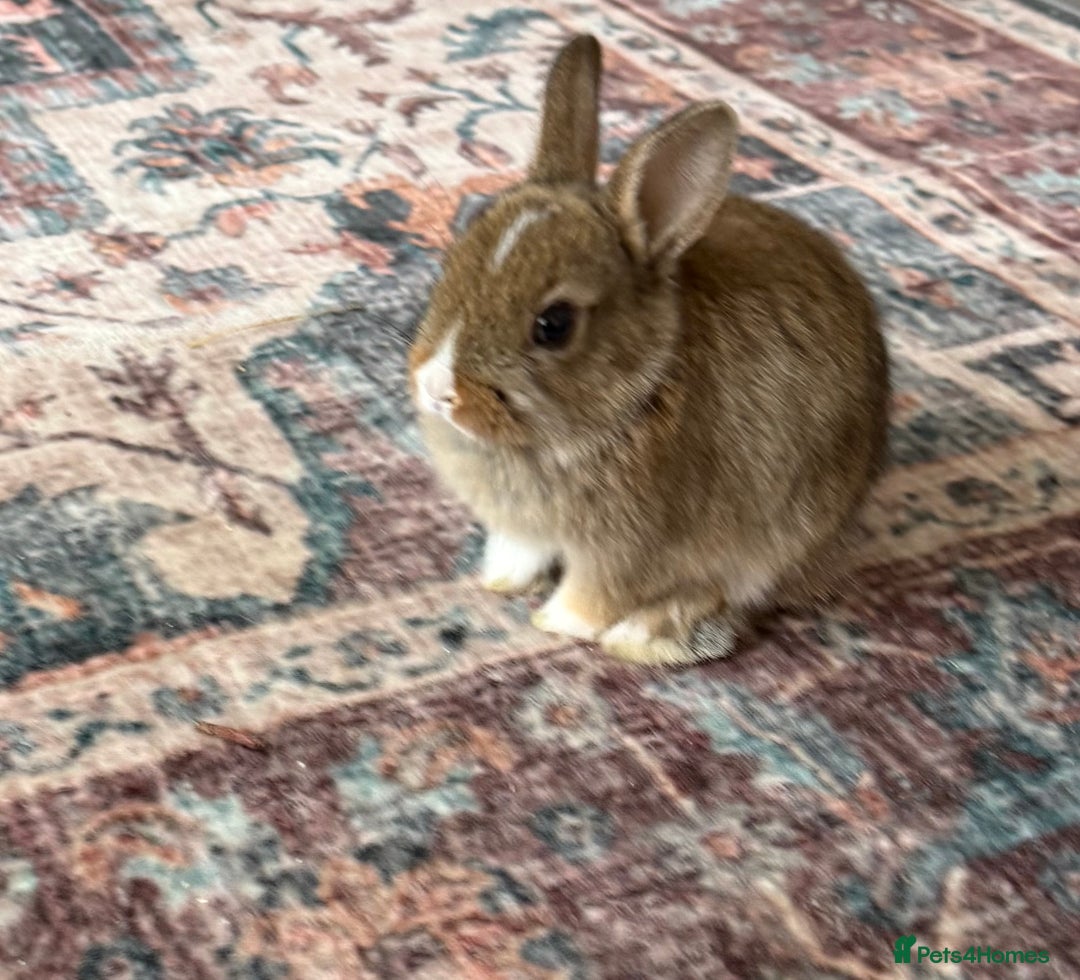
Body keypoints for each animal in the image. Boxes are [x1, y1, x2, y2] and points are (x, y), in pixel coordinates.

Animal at [408, 34, 889, 665]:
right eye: (450, 264)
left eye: (554, 325)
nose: (438, 388)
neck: (638, 391)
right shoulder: (524, 529)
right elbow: (521, 553)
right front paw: (500, 581)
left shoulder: (626, 552)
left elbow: (594, 595)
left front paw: (554, 622)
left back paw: (645, 636)